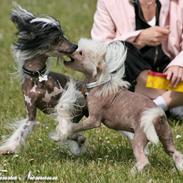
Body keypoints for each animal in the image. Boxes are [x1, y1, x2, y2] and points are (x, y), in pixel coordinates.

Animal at [0, 5, 88, 155]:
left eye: (63, 34)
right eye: (57, 37)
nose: (75, 46)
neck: (37, 77)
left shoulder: (70, 91)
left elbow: (62, 107)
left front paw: (62, 131)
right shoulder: (31, 112)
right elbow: (23, 129)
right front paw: (8, 148)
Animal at [56, 38, 183, 172]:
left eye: (80, 53)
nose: (73, 48)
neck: (99, 84)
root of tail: (157, 115)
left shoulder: (93, 120)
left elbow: (74, 127)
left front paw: (61, 134)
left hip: (139, 138)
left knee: (144, 161)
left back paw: (133, 172)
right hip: (166, 137)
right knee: (175, 153)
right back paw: (179, 169)